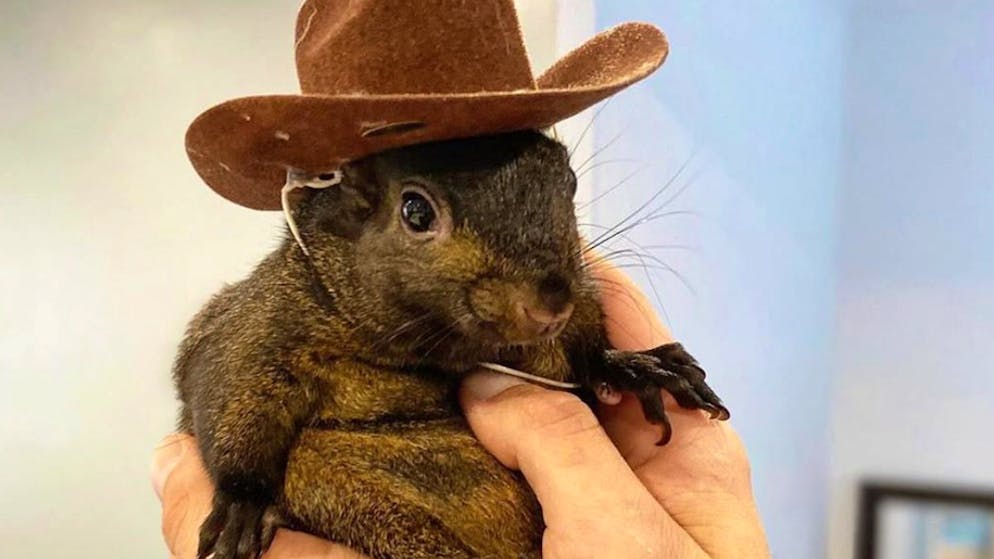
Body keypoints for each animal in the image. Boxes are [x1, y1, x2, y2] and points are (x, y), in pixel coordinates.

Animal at [173, 129, 729, 559]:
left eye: (568, 183)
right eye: (415, 211)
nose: (551, 304)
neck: (436, 349)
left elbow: (584, 356)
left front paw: (635, 366)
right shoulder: (261, 325)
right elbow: (230, 392)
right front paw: (241, 505)